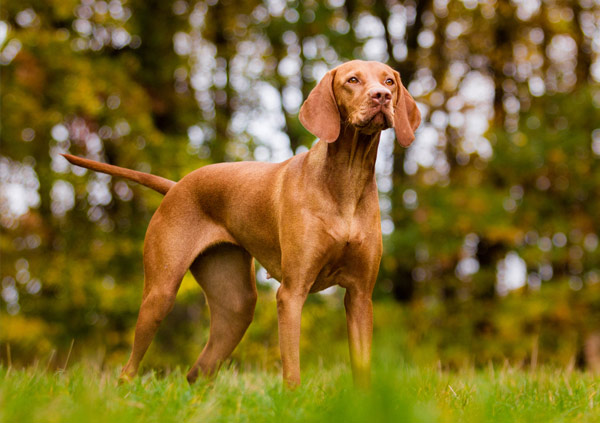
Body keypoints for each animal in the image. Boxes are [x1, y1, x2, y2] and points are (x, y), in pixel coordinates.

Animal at [63, 59, 420, 388]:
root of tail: (176, 185)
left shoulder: (360, 296)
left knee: (197, 372)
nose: (382, 96)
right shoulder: (291, 293)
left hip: (236, 305)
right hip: (160, 293)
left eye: (389, 80)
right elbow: (292, 369)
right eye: (353, 80)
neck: (347, 180)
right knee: (130, 367)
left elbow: (362, 368)